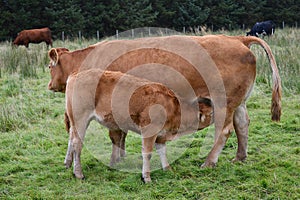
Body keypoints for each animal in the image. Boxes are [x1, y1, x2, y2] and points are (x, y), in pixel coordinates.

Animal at [63, 68, 213, 182]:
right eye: (212, 113)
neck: (173, 106)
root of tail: (76, 74)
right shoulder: (149, 131)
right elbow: (147, 154)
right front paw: (146, 177)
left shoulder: (161, 134)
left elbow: (162, 151)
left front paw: (167, 169)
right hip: (80, 119)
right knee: (77, 143)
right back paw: (78, 173)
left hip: (75, 121)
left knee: (71, 138)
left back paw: (68, 163)